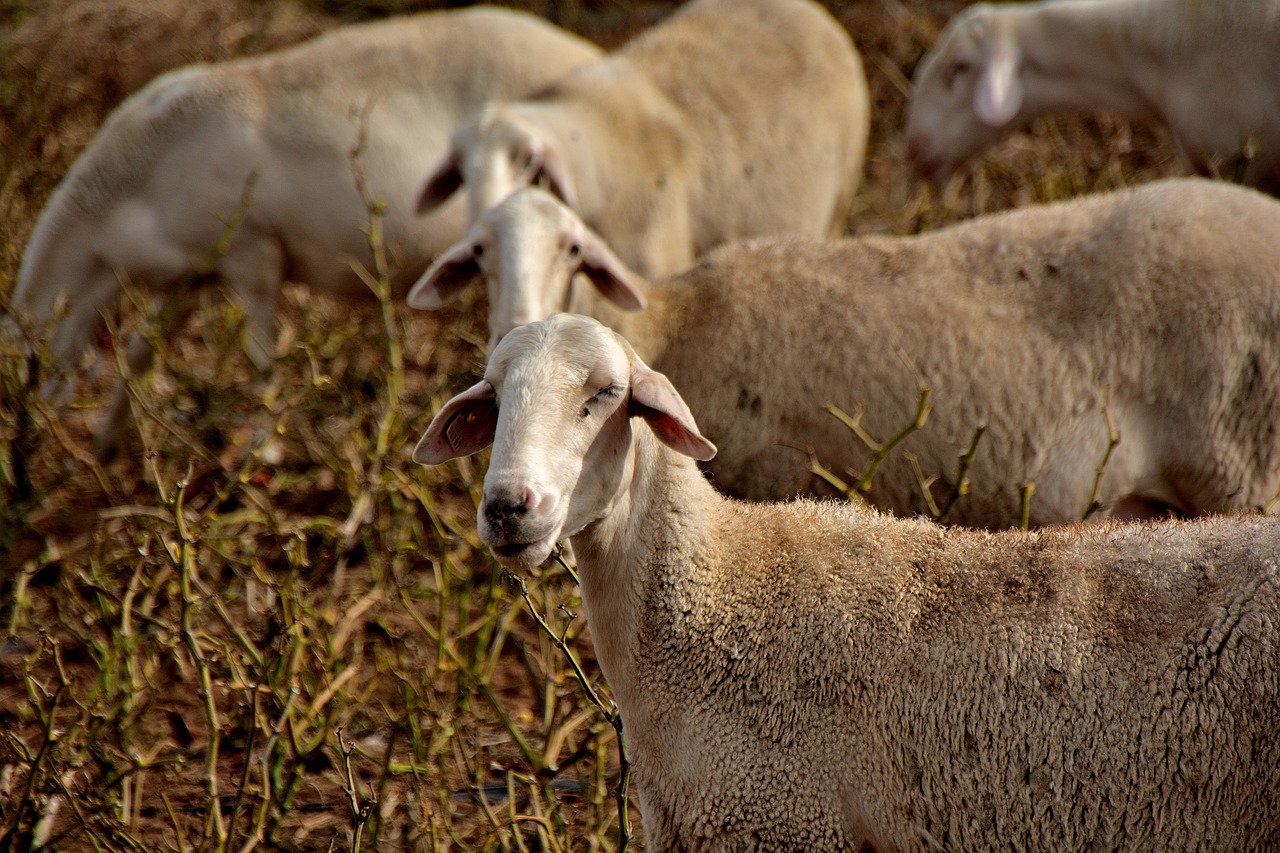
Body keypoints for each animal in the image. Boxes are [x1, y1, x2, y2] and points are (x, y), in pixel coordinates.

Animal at [10, 6, 601, 455]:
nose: (25, 451)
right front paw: (108, 443)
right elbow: (140, 352)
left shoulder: (251, 252)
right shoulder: (193, 271)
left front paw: (261, 448)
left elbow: (260, 355)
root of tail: (586, 53)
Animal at [407, 178, 1280, 525]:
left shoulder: (770, 476)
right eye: (476, 254)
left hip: (1244, 464)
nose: (520, 317)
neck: (680, 323)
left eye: (576, 251)